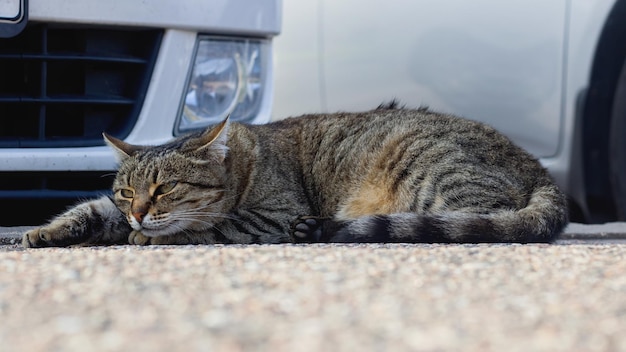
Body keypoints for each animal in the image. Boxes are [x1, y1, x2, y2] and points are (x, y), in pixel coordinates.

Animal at [20, 104, 564, 248]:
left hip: (427, 170)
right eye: (126, 190)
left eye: (165, 187)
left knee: (472, 222)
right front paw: (45, 231)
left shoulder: (274, 212)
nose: (136, 214)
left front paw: (157, 237)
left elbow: (212, 226)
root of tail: (537, 165)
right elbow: (88, 211)